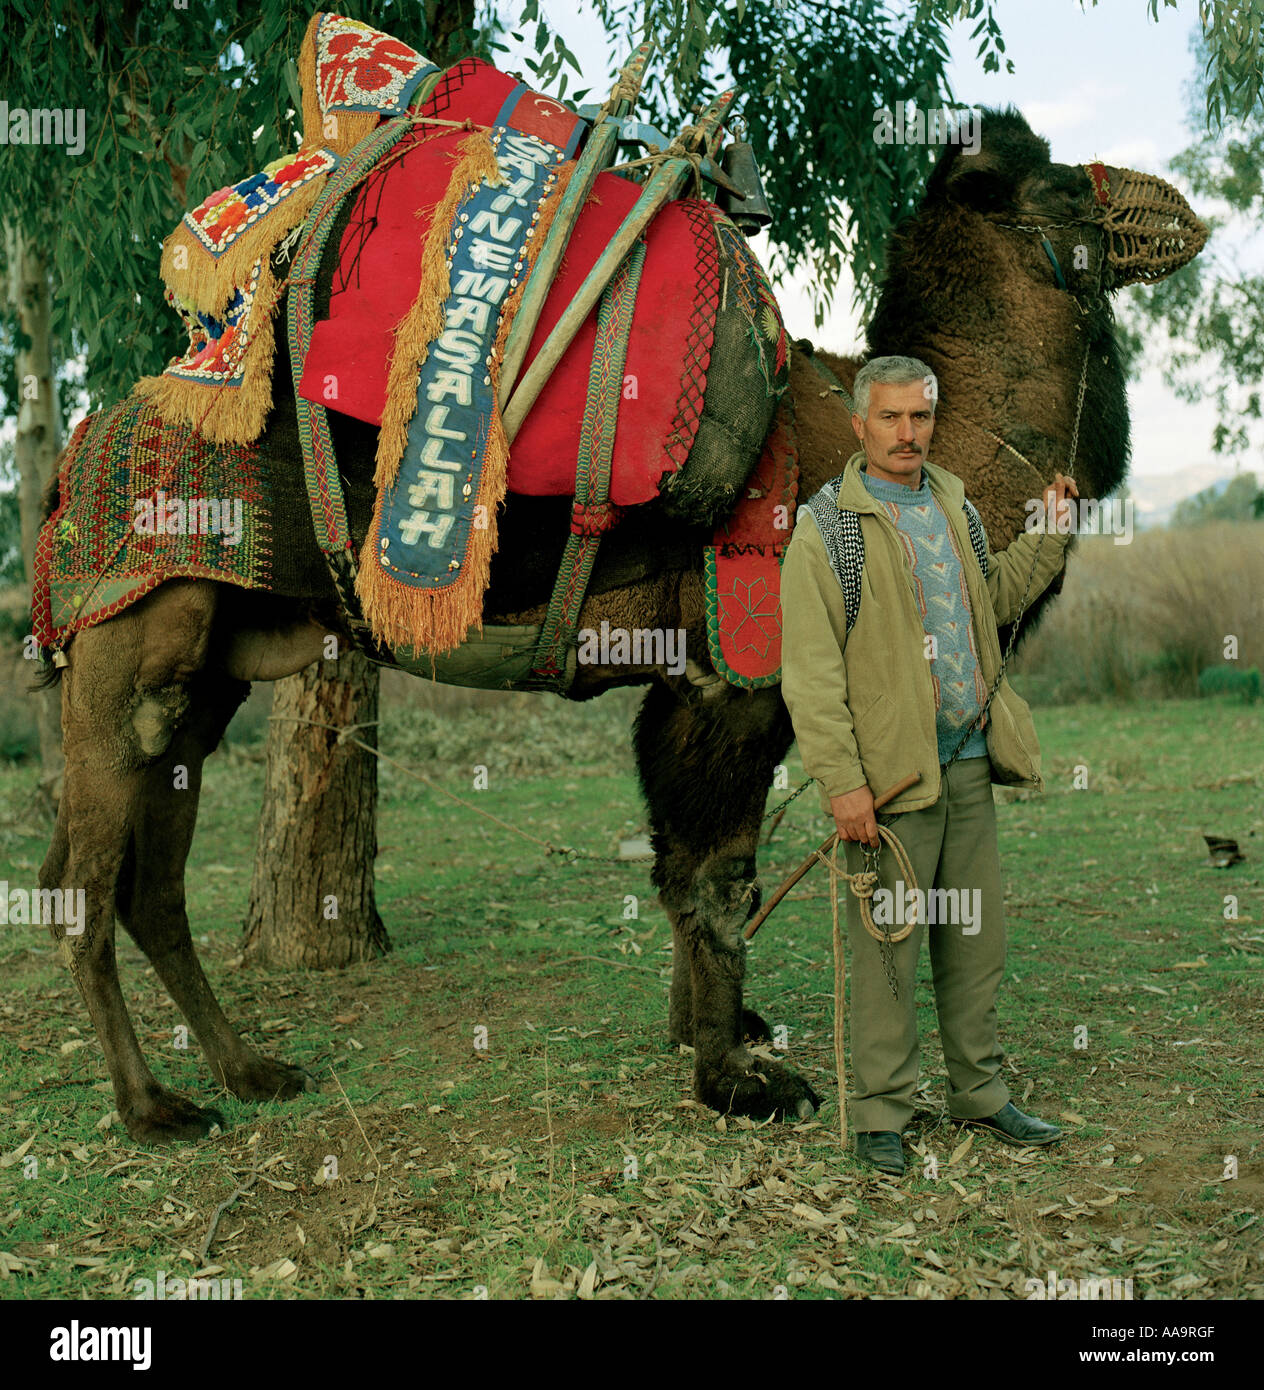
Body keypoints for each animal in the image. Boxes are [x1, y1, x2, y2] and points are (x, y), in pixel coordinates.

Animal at [37, 108, 1205, 1143]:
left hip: (208, 670)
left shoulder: (676, 682)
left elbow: (674, 866)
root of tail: (80, 451)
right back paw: (154, 1109)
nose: (1178, 209)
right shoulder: (735, 675)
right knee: (79, 887)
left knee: (152, 883)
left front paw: (712, 1032)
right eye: (1063, 186)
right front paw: (739, 1082)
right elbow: (717, 875)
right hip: (120, 651)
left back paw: (251, 1069)